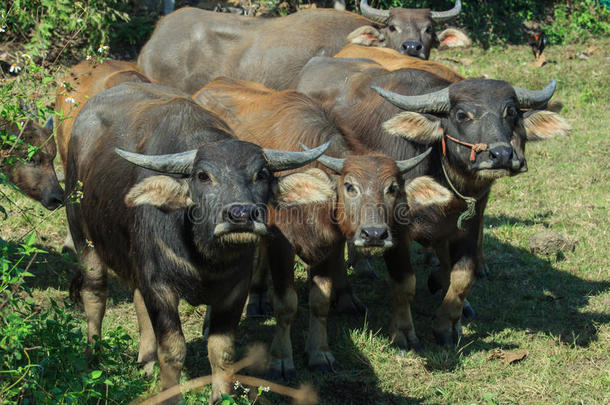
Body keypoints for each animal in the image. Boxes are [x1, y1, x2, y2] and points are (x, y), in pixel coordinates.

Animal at [296, 56, 568, 348]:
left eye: (512, 112)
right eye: (461, 115)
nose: (502, 155)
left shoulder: (468, 226)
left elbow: (462, 278)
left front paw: (447, 325)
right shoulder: (395, 232)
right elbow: (405, 284)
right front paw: (403, 332)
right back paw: (348, 295)